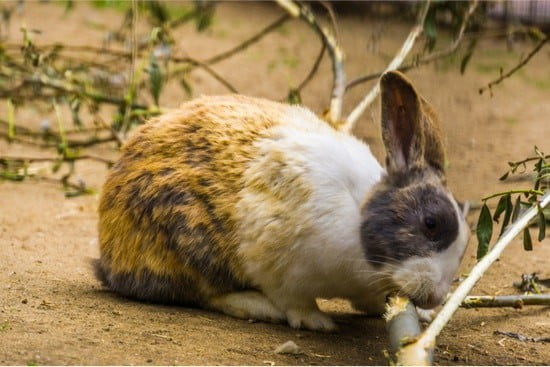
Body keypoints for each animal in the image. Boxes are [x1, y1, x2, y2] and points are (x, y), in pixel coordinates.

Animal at [95, 70, 470, 332]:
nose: (435, 296)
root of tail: (110, 256)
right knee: (203, 292)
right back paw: (258, 306)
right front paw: (315, 321)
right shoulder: (279, 264)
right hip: (189, 240)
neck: (358, 215)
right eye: (431, 224)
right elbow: (294, 300)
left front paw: (422, 314)